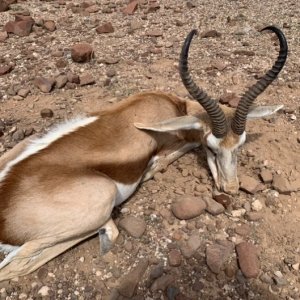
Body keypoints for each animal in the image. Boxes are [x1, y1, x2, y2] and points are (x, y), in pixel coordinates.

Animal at [0, 26, 288, 282]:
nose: (230, 188)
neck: (174, 106)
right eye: (211, 148)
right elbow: (173, 153)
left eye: (240, 145)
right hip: (103, 197)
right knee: (16, 266)